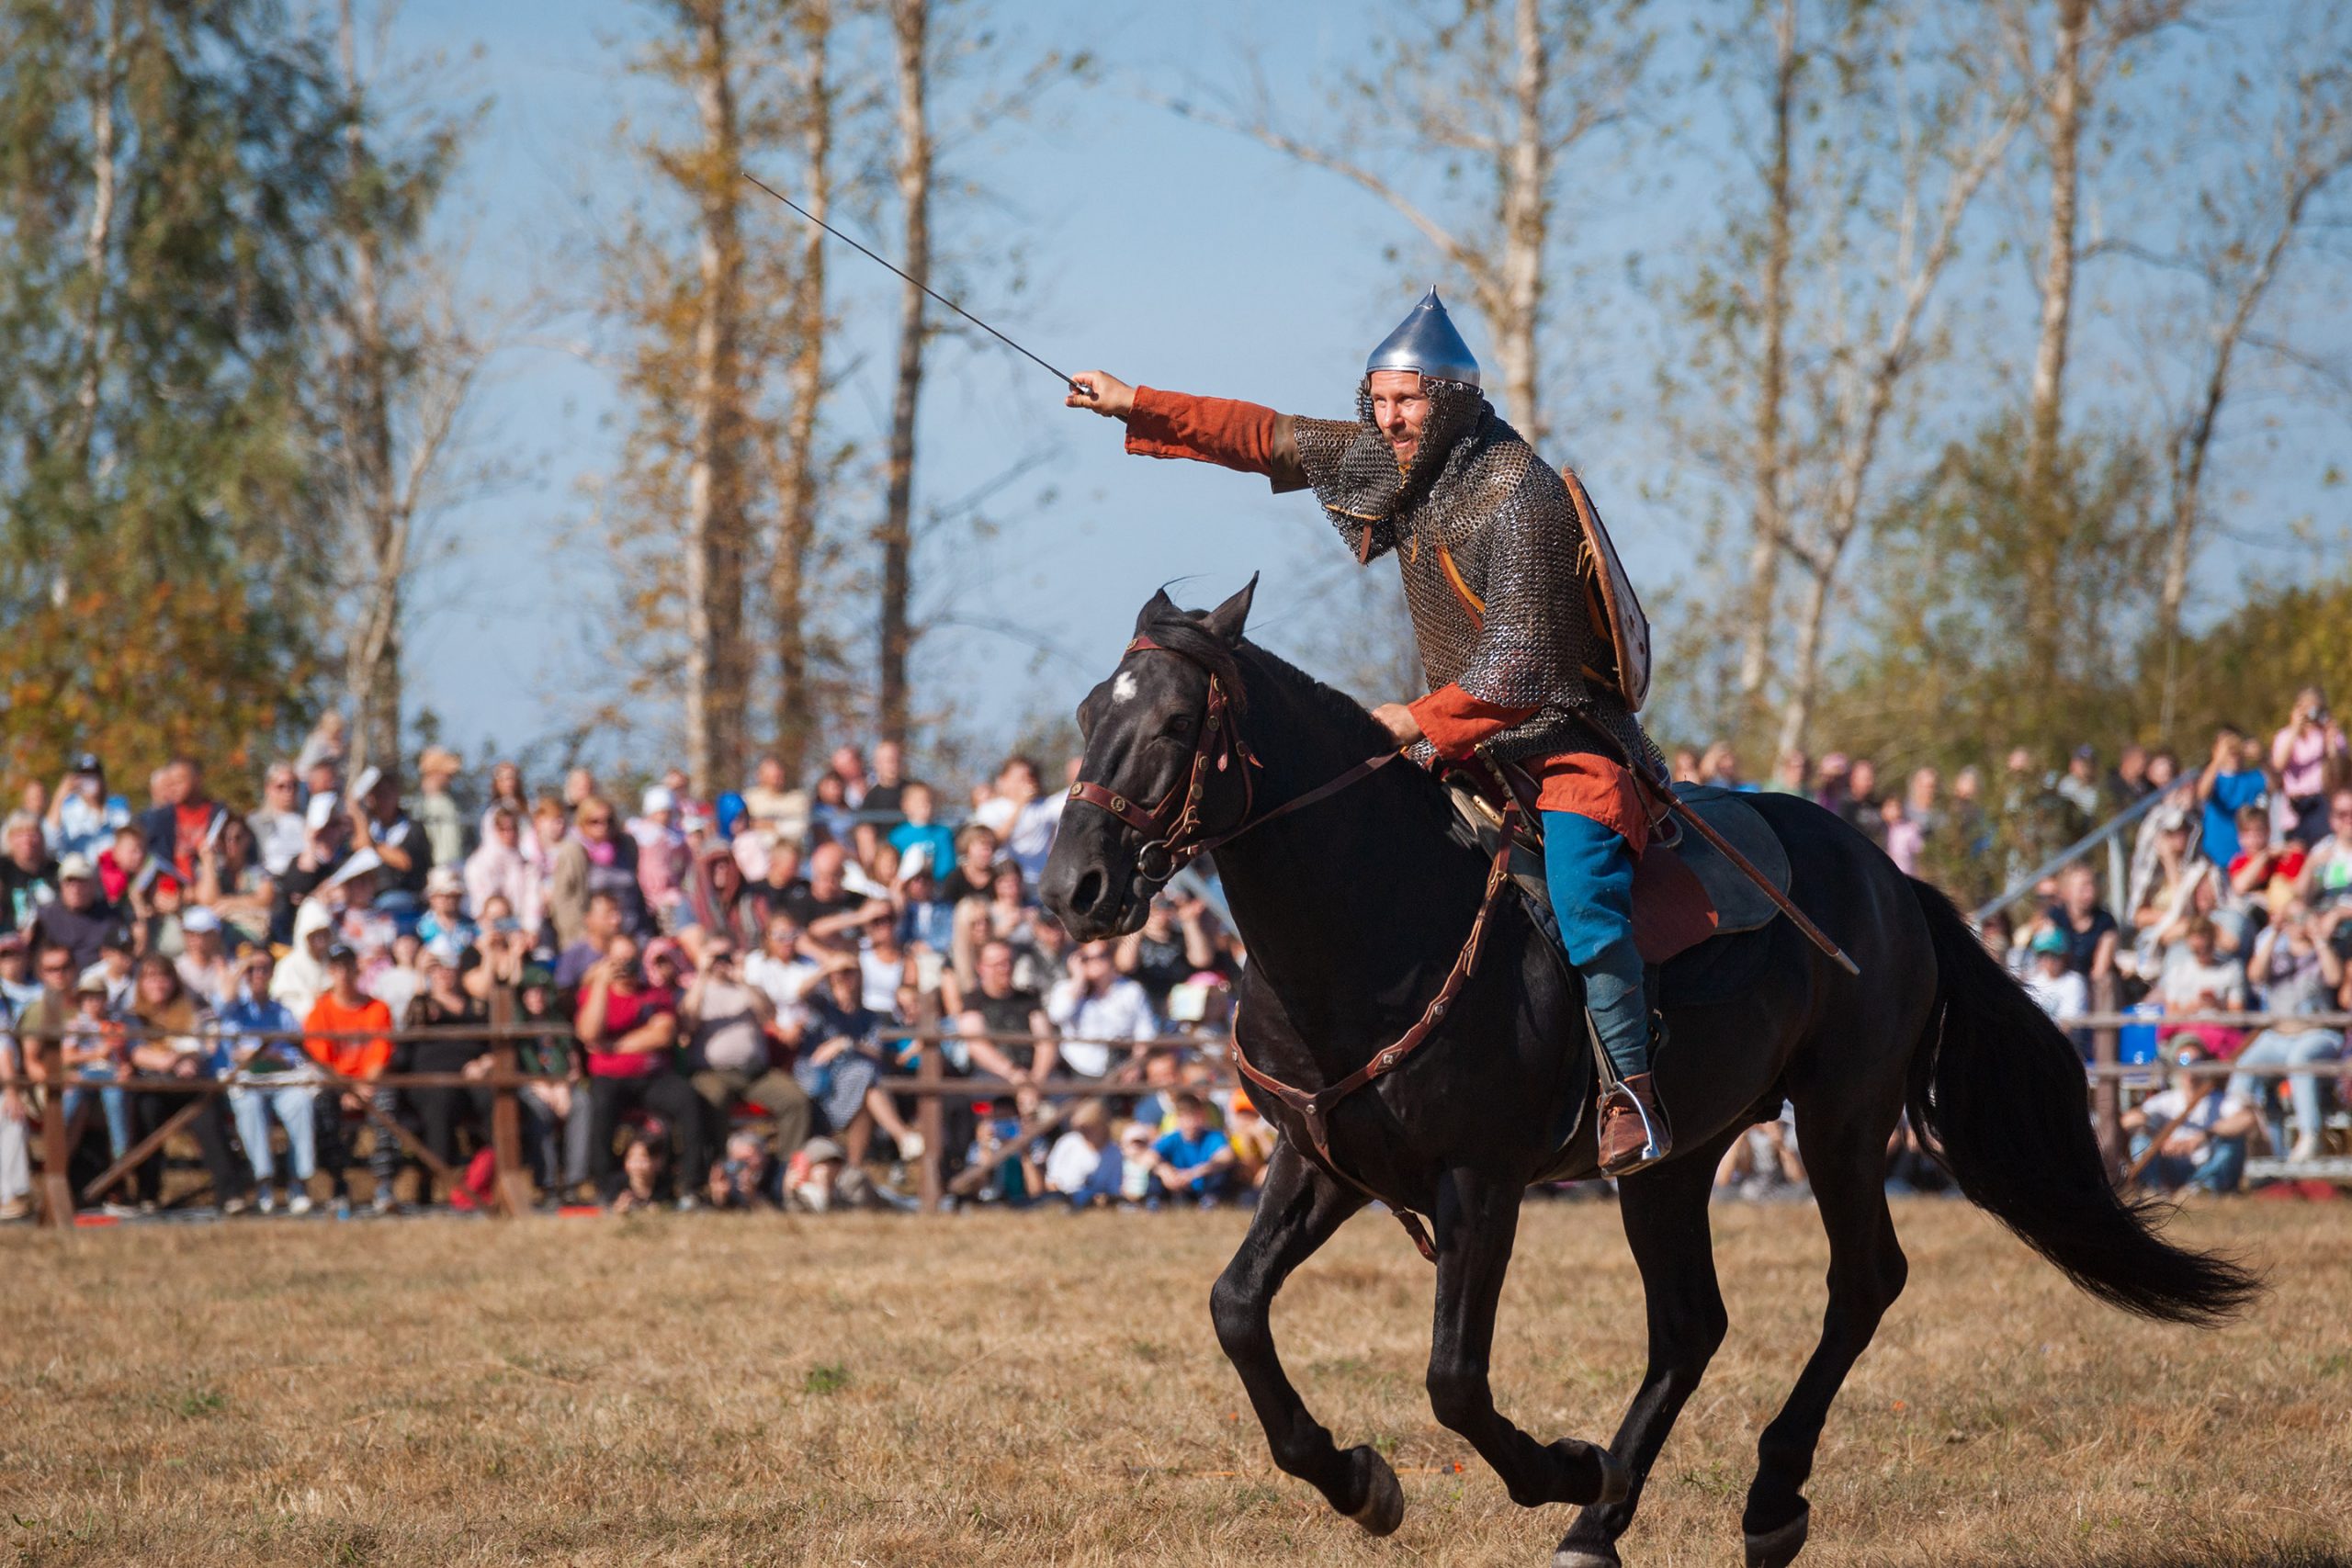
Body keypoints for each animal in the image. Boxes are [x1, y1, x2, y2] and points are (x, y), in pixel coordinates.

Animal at [1039, 585, 2248, 1568]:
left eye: (1176, 723)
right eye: (1088, 717)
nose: (1071, 888)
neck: (1379, 923)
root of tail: (1889, 878)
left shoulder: (1478, 1185)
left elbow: (1453, 1379)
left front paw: (1559, 1465)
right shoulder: (1322, 1165)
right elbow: (1237, 1309)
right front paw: (1357, 1481)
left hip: (1841, 1121)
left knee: (1860, 1284)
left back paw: (1759, 1498)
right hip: (1673, 1160)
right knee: (1690, 1327)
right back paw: (1600, 1523)